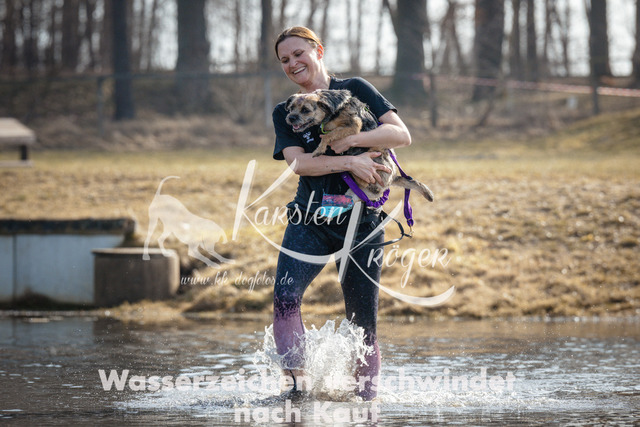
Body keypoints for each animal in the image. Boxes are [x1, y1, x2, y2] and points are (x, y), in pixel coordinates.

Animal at [284, 89, 434, 205]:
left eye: (305, 110)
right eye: (291, 108)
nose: (290, 118)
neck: (336, 107)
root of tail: (393, 179)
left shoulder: (353, 125)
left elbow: (328, 136)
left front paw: (319, 149)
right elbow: (328, 133)